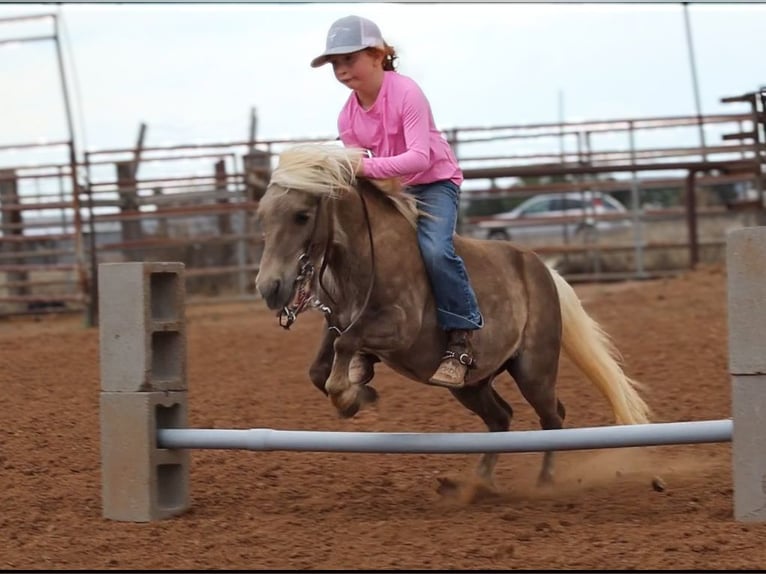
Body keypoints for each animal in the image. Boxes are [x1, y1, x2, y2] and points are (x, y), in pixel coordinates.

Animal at [254, 143, 651, 490]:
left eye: (302, 215)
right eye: (263, 216)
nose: (269, 287)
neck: (372, 253)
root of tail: (543, 270)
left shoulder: (398, 328)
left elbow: (345, 348)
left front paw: (350, 395)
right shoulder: (336, 322)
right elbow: (320, 367)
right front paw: (360, 391)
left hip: (534, 369)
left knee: (553, 417)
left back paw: (544, 482)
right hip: (473, 385)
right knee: (502, 418)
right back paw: (479, 484)